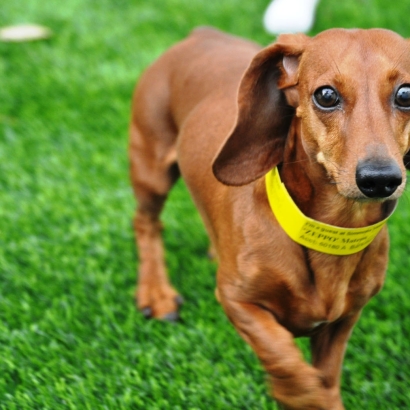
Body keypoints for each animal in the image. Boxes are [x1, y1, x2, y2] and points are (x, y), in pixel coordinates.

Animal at [129, 27, 410, 408]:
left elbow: (326, 376)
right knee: (147, 224)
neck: (328, 234)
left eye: (406, 94)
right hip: (150, 170)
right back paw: (156, 293)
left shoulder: (344, 319)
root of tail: (202, 33)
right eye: (326, 95)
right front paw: (301, 394)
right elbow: (283, 358)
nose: (380, 179)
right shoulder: (236, 300)